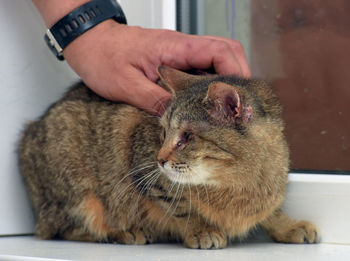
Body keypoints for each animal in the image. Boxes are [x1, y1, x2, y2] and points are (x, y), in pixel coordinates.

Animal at [18, 65, 320, 248]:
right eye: (162, 132)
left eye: (186, 136)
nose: (160, 159)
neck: (235, 186)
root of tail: (29, 133)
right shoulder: (144, 172)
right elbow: (181, 207)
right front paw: (201, 230)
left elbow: (272, 211)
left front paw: (289, 225)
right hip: (77, 187)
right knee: (64, 229)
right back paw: (124, 232)